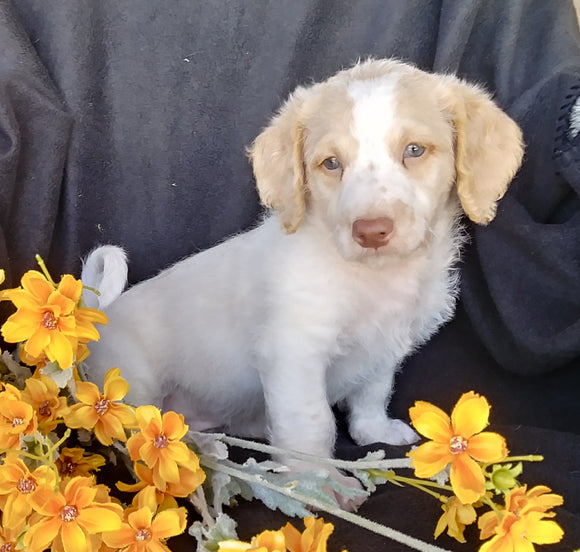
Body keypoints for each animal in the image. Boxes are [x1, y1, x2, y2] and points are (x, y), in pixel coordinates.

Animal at [82, 59, 524, 500]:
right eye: (331, 163)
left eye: (414, 150)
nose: (371, 231)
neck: (374, 278)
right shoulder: (295, 354)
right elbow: (313, 424)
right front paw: (321, 483)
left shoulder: (384, 347)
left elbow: (373, 392)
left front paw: (373, 432)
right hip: (134, 384)